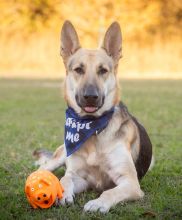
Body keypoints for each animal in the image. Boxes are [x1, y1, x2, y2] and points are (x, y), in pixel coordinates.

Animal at [34, 21, 152, 213]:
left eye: (103, 70)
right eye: (79, 70)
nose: (90, 96)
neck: (92, 129)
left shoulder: (131, 183)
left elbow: (110, 192)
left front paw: (98, 203)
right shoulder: (79, 176)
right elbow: (65, 178)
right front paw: (63, 193)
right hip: (61, 155)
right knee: (45, 168)